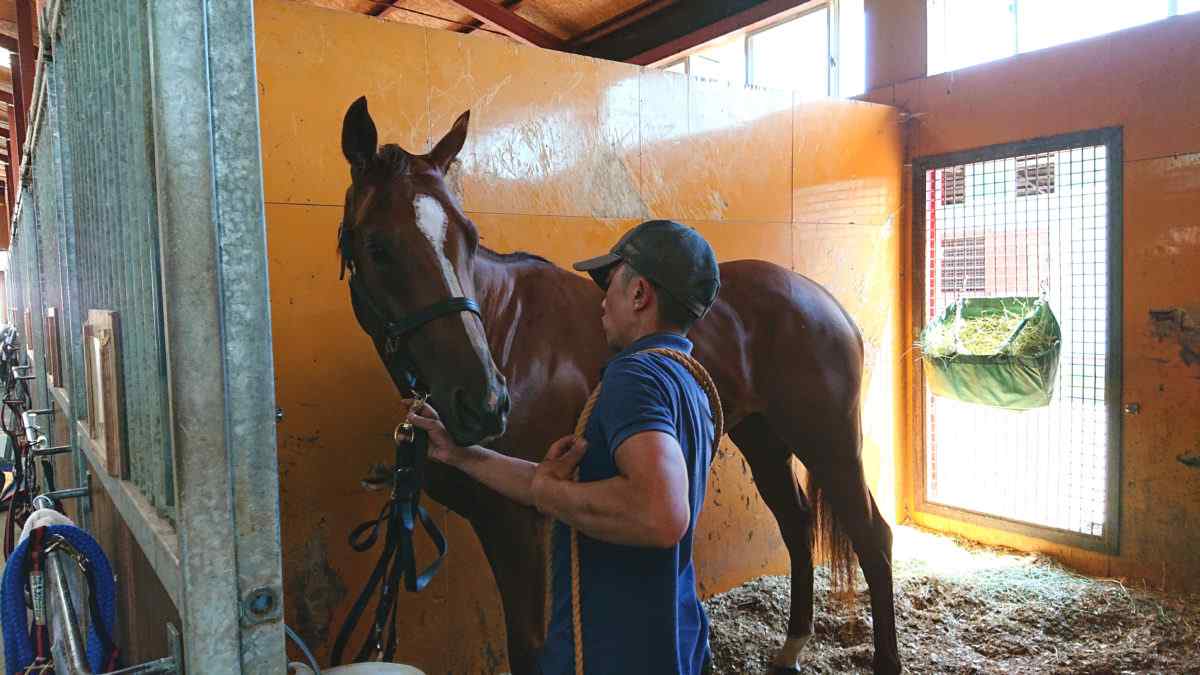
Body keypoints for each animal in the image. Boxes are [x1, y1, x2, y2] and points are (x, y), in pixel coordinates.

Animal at [338, 96, 902, 672]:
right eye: (377, 246)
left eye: (469, 238)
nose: (485, 403)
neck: (505, 328)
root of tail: (824, 301)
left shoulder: (522, 523)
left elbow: (529, 646)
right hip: (765, 440)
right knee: (796, 525)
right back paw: (790, 648)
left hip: (830, 443)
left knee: (872, 537)